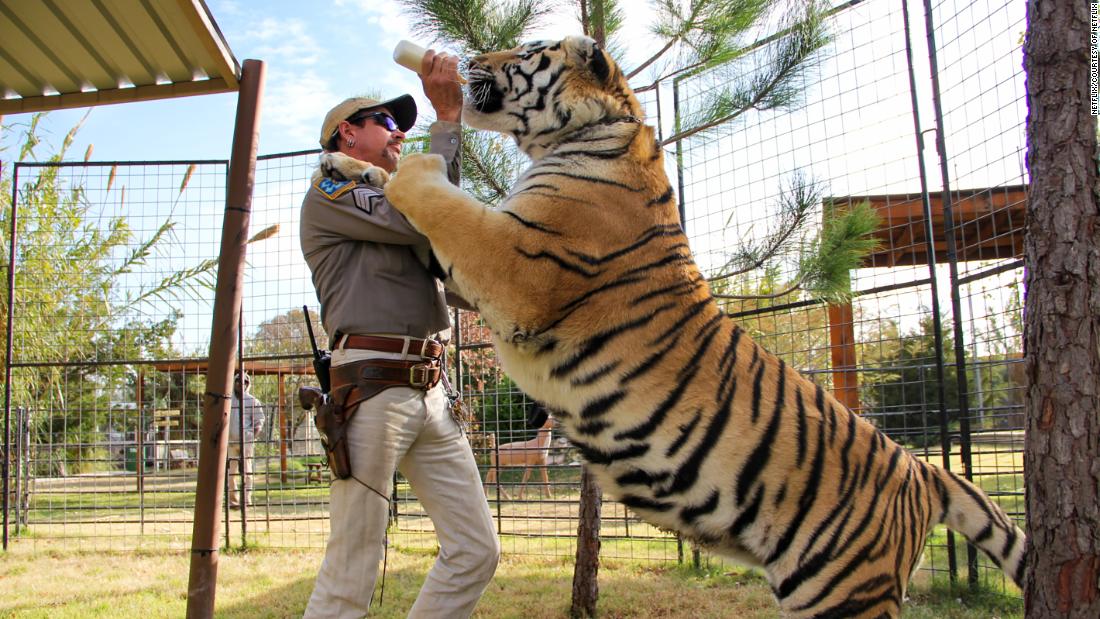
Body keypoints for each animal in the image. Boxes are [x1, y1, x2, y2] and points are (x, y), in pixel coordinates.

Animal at [344, 35, 1028, 618]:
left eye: (526, 52)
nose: (470, 61)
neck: (589, 133)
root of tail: (923, 471)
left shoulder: (516, 266)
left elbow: (441, 200)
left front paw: (406, 166)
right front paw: (353, 169)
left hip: (842, 591)